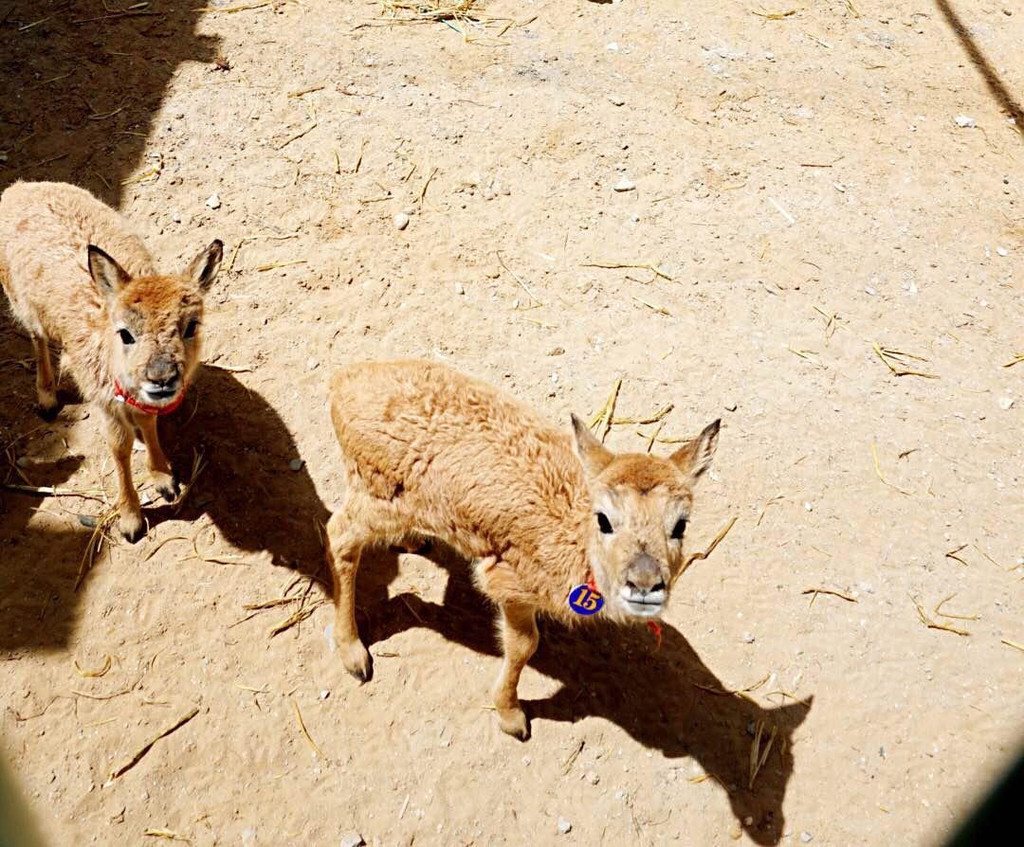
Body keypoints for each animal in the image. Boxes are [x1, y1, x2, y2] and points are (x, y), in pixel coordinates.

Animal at [0, 183, 223, 544]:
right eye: (125, 333)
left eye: (191, 326)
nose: (162, 377)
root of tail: (19, 186)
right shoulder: (105, 401)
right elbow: (119, 447)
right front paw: (131, 519)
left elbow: (148, 422)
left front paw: (163, 478)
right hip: (21, 300)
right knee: (37, 337)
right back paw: (47, 397)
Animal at [327, 360, 720, 737]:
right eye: (604, 519)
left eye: (681, 525)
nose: (644, 583)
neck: (572, 533)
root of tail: (342, 383)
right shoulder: (510, 581)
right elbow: (524, 645)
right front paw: (511, 715)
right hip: (378, 492)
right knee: (339, 536)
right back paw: (353, 653)